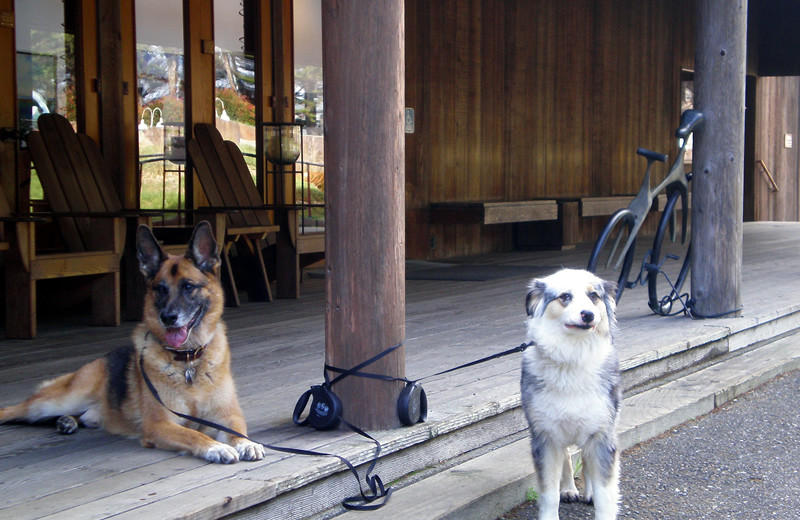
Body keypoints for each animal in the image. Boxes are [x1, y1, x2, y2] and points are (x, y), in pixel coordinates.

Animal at [0, 221, 268, 466]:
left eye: (188, 286)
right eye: (160, 289)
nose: (168, 317)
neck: (189, 361)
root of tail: (102, 359)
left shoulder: (227, 414)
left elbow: (238, 430)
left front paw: (245, 443)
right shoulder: (159, 424)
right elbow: (193, 435)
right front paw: (215, 447)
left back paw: (66, 421)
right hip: (60, 399)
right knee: (14, 411)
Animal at [520, 268, 620, 520]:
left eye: (594, 296)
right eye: (565, 296)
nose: (588, 315)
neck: (572, 357)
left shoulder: (602, 435)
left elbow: (605, 495)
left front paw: (598, 499)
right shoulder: (546, 437)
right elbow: (548, 493)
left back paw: (588, 492)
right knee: (566, 458)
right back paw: (568, 489)